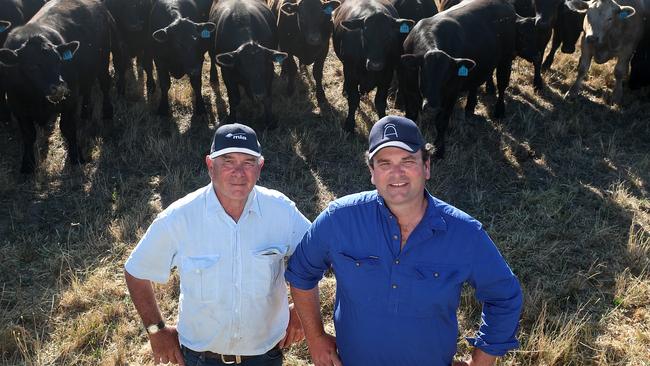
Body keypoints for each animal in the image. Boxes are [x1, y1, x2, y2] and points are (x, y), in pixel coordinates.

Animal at [210, 0, 286, 129]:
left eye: (264, 65)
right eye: (243, 68)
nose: (259, 94)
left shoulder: (269, 71)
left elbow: (268, 98)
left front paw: (270, 122)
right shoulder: (227, 73)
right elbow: (234, 99)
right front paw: (231, 119)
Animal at [400, 0, 516, 159]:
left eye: (447, 77)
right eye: (424, 74)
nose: (432, 106)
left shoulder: (451, 93)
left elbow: (442, 121)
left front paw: (439, 151)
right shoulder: (408, 90)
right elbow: (410, 117)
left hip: (506, 58)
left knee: (503, 83)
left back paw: (499, 111)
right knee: (474, 85)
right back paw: (470, 107)